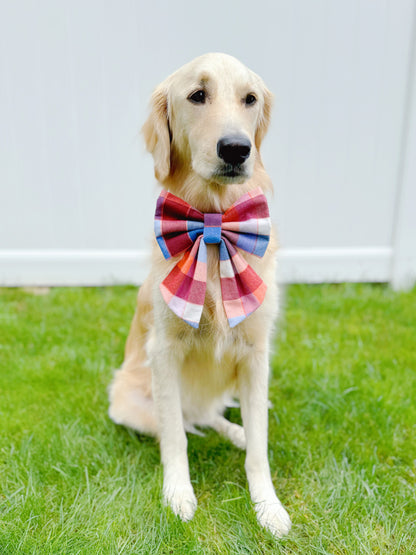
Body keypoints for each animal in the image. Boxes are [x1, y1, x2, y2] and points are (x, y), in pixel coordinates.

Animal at [109, 53, 290, 540]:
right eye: (197, 95)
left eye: (249, 99)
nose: (237, 149)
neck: (213, 225)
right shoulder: (164, 351)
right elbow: (175, 438)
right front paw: (178, 495)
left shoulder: (256, 352)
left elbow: (260, 450)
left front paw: (268, 507)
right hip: (128, 402)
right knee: (189, 421)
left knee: (217, 416)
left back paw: (239, 431)